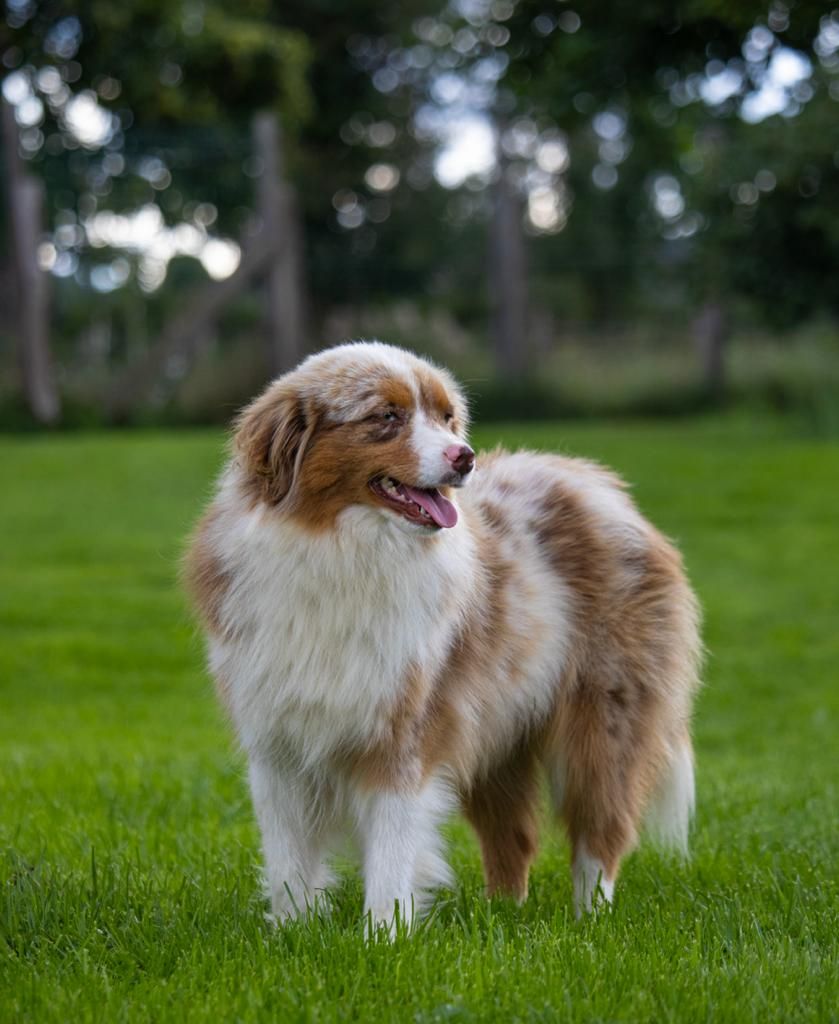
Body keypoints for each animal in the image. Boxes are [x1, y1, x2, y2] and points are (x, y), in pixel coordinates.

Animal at [185, 342, 700, 929]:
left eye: (447, 417)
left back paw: (589, 920)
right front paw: (295, 933)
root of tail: (599, 485)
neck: (344, 549)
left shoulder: (405, 730)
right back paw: (501, 916)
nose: (465, 457)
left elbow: (391, 856)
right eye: (387, 416)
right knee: (514, 836)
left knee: (601, 832)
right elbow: (288, 860)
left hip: (604, 722)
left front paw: (381, 937)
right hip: (499, 728)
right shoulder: (278, 744)